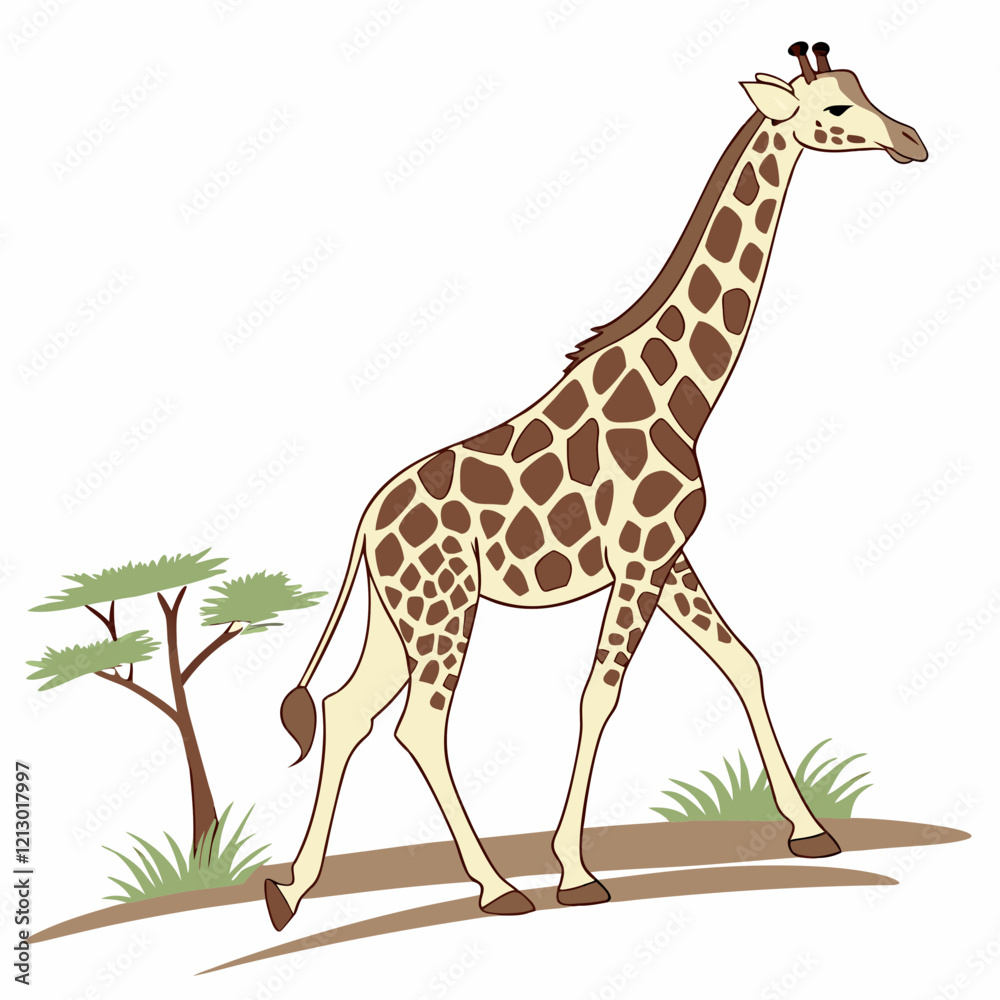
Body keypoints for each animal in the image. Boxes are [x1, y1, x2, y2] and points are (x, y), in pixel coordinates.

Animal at [263, 41, 927, 929]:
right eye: (834, 110)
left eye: (862, 90)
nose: (912, 140)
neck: (687, 398)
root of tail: (368, 519)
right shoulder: (640, 559)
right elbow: (598, 698)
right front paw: (574, 872)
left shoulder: (669, 557)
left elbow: (744, 662)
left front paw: (810, 831)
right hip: (444, 607)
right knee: (420, 726)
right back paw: (497, 887)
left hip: (397, 614)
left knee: (345, 711)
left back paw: (291, 890)